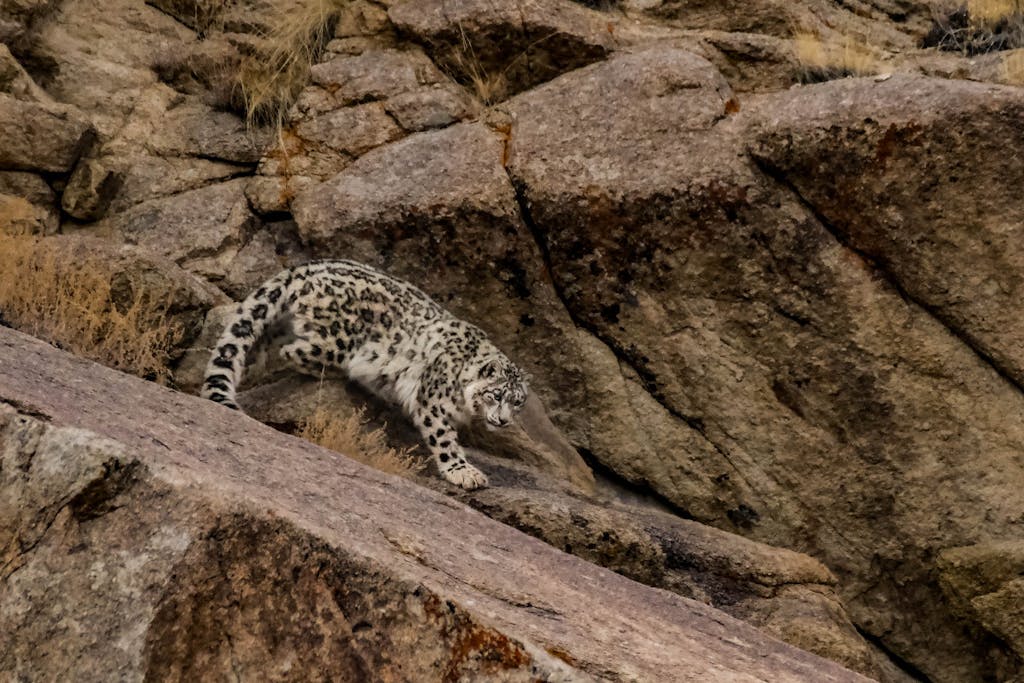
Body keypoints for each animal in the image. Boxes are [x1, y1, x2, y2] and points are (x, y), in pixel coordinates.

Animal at [201, 260, 529, 490]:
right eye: (495, 394)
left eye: (517, 402)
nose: (503, 421)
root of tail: (305, 268)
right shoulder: (432, 400)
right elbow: (444, 439)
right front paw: (465, 473)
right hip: (337, 342)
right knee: (290, 350)